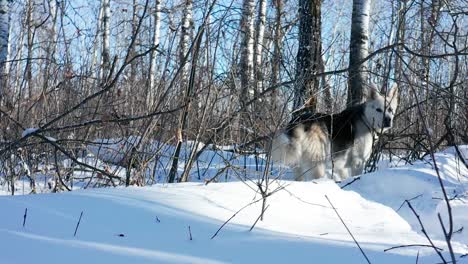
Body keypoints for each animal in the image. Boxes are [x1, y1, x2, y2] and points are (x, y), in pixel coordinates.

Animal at [270, 84, 398, 182]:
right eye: (378, 109)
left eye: (390, 110)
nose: (388, 120)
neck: (366, 119)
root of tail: (299, 122)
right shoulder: (358, 163)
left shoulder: (342, 166)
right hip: (318, 162)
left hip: (299, 166)